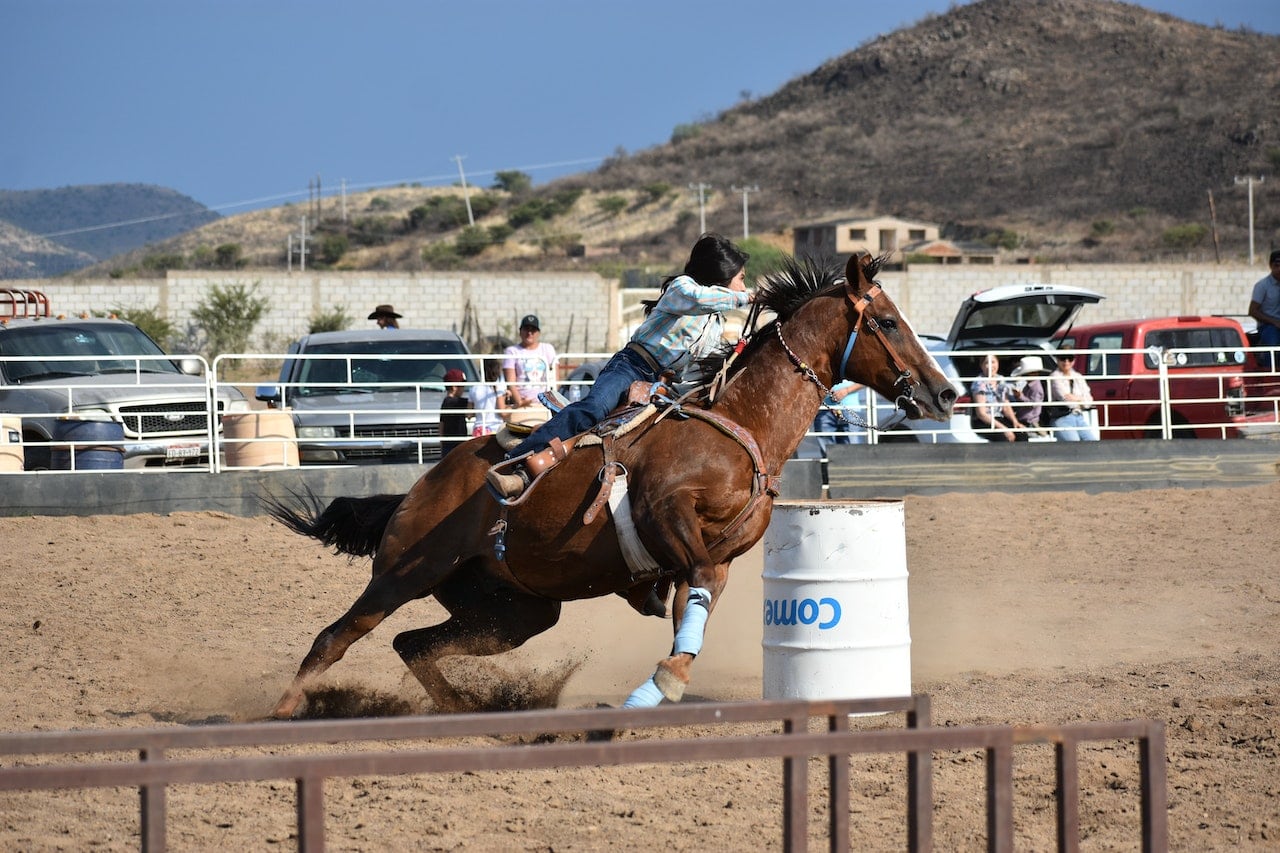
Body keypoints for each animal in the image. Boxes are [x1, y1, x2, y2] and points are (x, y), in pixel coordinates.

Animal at [264, 252, 957, 717]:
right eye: (886, 322)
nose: (945, 393)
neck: (740, 423)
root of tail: (417, 488)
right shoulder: (666, 513)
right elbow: (693, 588)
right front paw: (664, 681)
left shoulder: (722, 555)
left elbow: (693, 605)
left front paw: (664, 681)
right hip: (406, 570)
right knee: (336, 638)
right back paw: (285, 710)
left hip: (512, 611)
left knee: (414, 644)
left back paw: (467, 708)